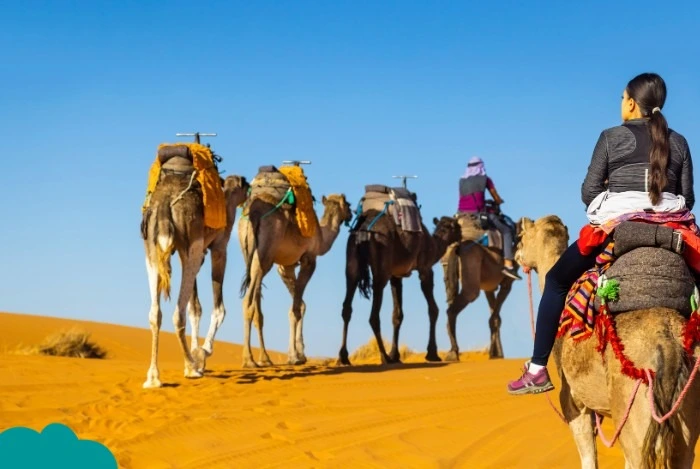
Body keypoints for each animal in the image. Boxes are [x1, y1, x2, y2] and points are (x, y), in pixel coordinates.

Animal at [141, 152, 249, 389]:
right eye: (245, 184)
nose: (249, 188)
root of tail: (165, 204)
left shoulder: (195, 255)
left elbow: (195, 307)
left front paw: (195, 353)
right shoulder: (218, 247)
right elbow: (218, 308)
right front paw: (202, 353)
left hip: (152, 251)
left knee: (155, 313)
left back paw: (153, 377)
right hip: (191, 245)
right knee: (177, 314)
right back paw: (192, 367)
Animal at [239, 184, 352, 368]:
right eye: (348, 204)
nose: (352, 213)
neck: (321, 236)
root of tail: (253, 212)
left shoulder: (285, 267)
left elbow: (299, 305)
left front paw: (299, 353)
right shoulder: (309, 260)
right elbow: (296, 309)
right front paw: (295, 356)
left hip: (248, 252)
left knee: (256, 303)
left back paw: (265, 358)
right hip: (264, 255)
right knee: (248, 301)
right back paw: (249, 359)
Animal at [337, 211, 462, 365]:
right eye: (457, 227)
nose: (462, 236)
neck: (434, 245)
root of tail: (363, 229)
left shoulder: (396, 276)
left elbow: (397, 315)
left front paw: (395, 355)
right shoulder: (425, 269)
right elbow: (433, 309)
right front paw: (432, 354)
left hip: (352, 261)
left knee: (347, 307)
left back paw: (343, 357)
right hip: (381, 269)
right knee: (373, 316)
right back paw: (384, 357)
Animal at [442, 212, 522, 360]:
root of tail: (457, 248)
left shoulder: (489, 288)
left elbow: (494, 315)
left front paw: (495, 353)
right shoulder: (507, 284)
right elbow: (496, 317)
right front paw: (496, 354)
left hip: (449, 278)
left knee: (450, 302)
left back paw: (451, 351)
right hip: (471, 276)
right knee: (455, 307)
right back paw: (454, 351)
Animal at [516, 215, 700, 468]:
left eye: (521, 236)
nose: (516, 254)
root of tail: (667, 345)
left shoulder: (575, 406)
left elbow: (588, 460)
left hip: (634, 408)